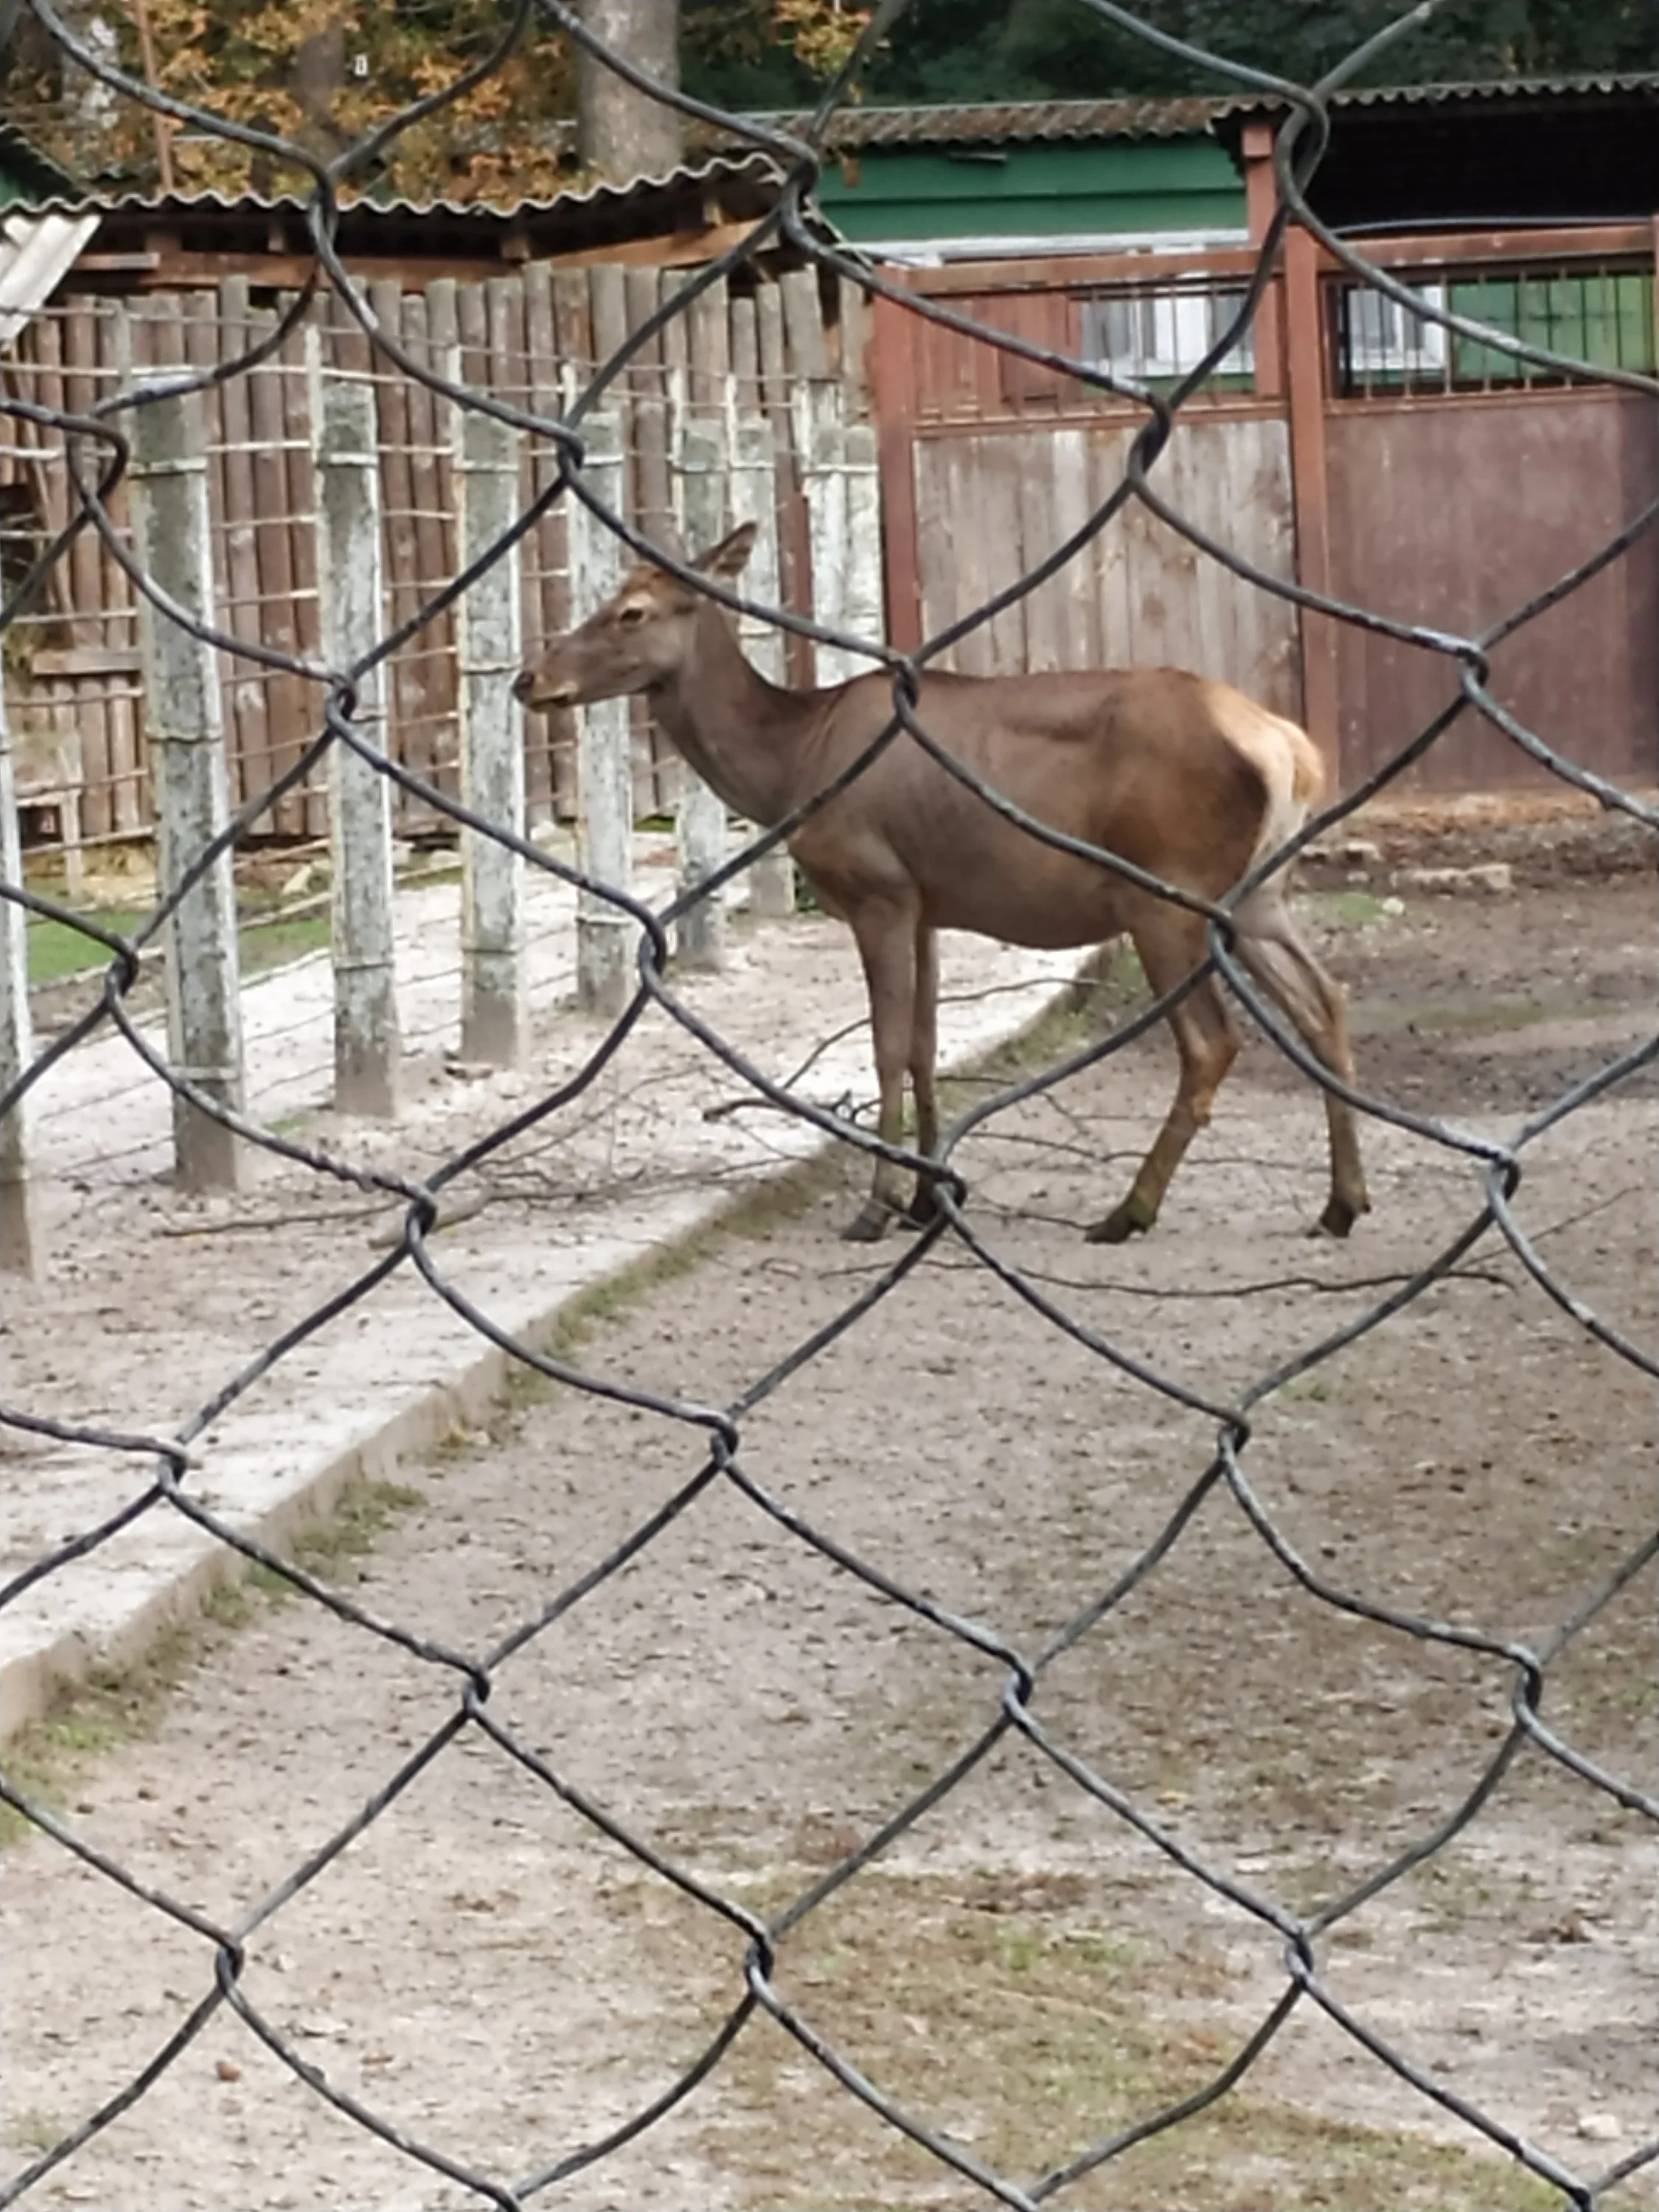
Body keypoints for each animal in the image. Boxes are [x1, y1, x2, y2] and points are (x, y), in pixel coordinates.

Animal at [514, 522, 1370, 1248]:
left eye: (630, 611)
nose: (529, 678)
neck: (791, 765)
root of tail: (1291, 751)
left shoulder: (878, 889)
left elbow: (888, 1047)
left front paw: (876, 1206)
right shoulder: (926, 902)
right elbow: (927, 1046)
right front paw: (927, 1199)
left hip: (1164, 891)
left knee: (1212, 1042)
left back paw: (1131, 1209)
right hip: (1254, 896)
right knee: (1324, 1000)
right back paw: (1342, 1202)